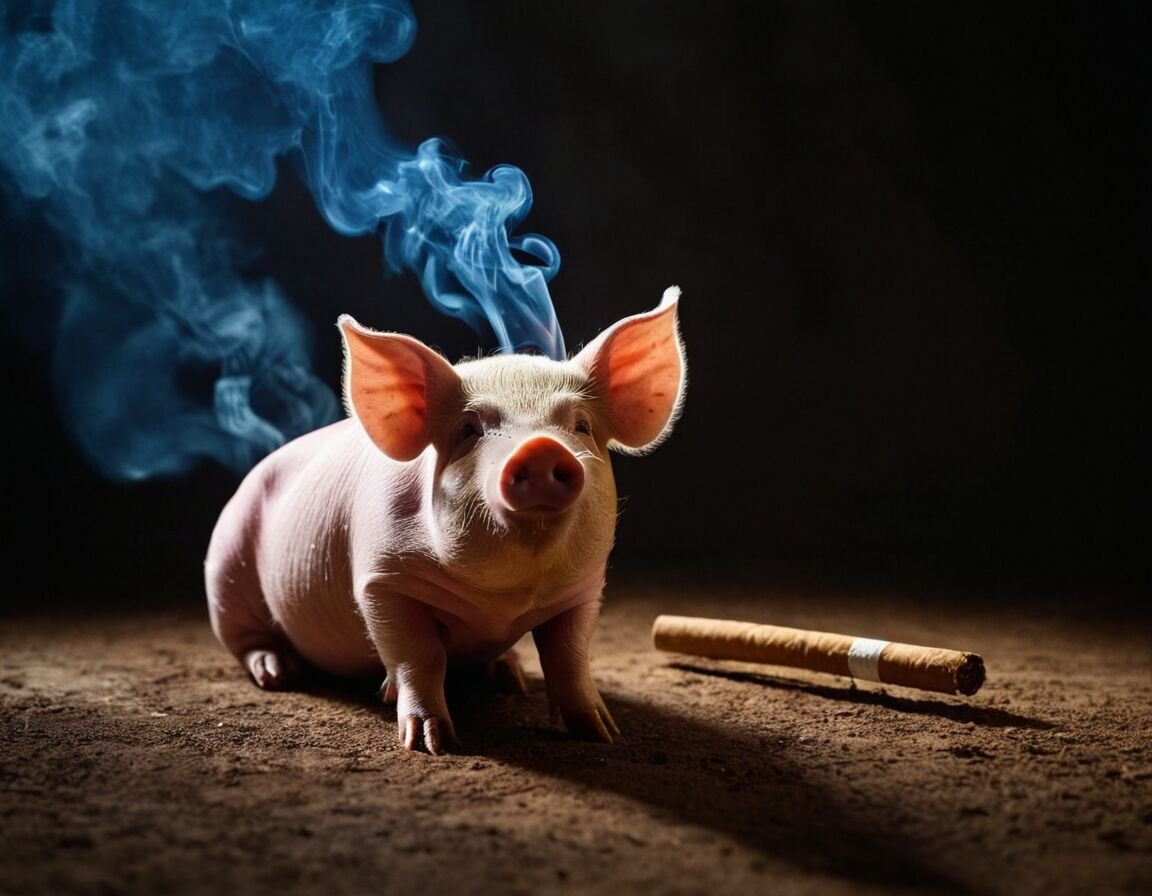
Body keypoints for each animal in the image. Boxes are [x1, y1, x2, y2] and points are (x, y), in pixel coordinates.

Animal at [205, 287, 685, 753]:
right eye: (469, 430)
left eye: (581, 425)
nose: (541, 447)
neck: (503, 602)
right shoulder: (383, 581)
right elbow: (421, 656)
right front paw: (429, 742)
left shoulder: (582, 590)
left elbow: (569, 658)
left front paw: (603, 732)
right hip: (225, 569)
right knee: (245, 639)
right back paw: (277, 674)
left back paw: (508, 676)